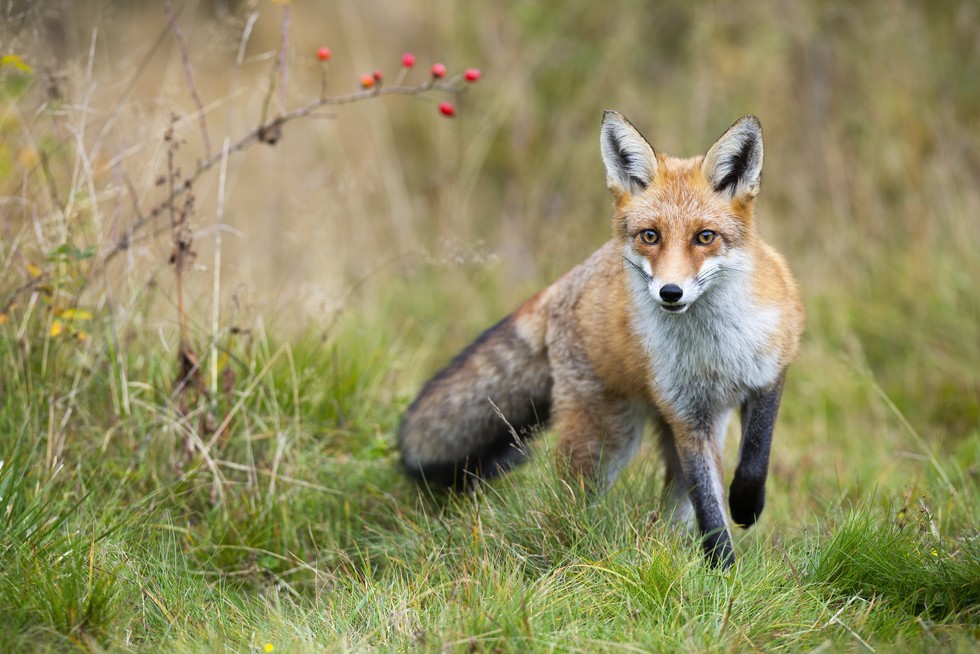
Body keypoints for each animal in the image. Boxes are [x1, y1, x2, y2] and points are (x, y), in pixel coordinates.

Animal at [398, 113, 804, 568]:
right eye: (650, 236)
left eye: (705, 237)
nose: (670, 292)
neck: (712, 348)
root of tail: (564, 283)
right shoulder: (686, 414)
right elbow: (710, 511)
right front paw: (723, 571)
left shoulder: (769, 373)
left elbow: (754, 459)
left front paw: (746, 507)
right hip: (608, 438)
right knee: (572, 498)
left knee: (672, 506)